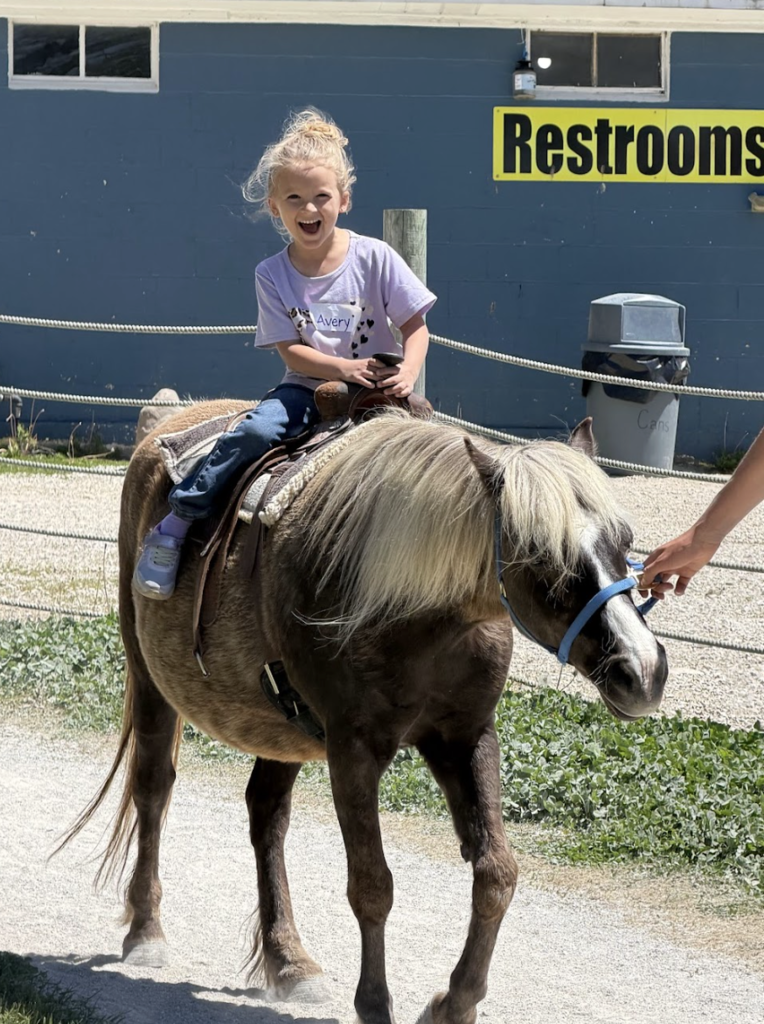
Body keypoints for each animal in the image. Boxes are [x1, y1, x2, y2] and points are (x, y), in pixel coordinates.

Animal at [66, 401, 667, 1024]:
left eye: (624, 539)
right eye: (544, 556)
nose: (643, 671)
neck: (415, 606)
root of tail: (165, 424)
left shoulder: (466, 736)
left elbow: (496, 872)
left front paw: (455, 1002)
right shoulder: (352, 749)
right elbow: (372, 885)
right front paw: (376, 1004)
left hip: (282, 733)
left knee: (266, 814)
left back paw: (289, 961)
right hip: (151, 682)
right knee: (153, 788)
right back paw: (146, 931)